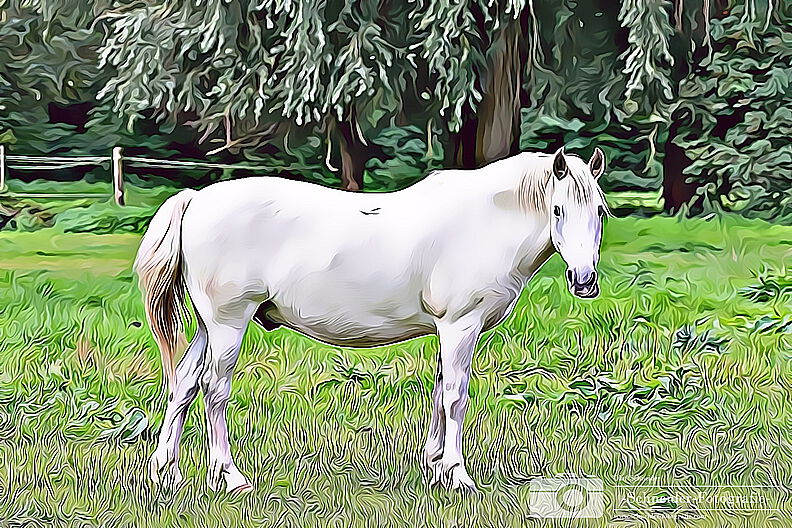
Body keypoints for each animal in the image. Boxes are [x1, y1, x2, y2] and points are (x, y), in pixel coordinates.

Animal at [135, 147, 607, 493]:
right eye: (559, 210)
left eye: (600, 211)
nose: (584, 279)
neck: (485, 221)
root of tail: (197, 198)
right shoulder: (461, 326)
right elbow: (455, 398)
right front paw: (458, 476)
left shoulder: (446, 331)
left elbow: (439, 393)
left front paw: (435, 468)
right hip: (228, 324)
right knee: (214, 390)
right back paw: (231, 477)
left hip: (208, 326)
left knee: (184, 384)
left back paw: (165, 472)